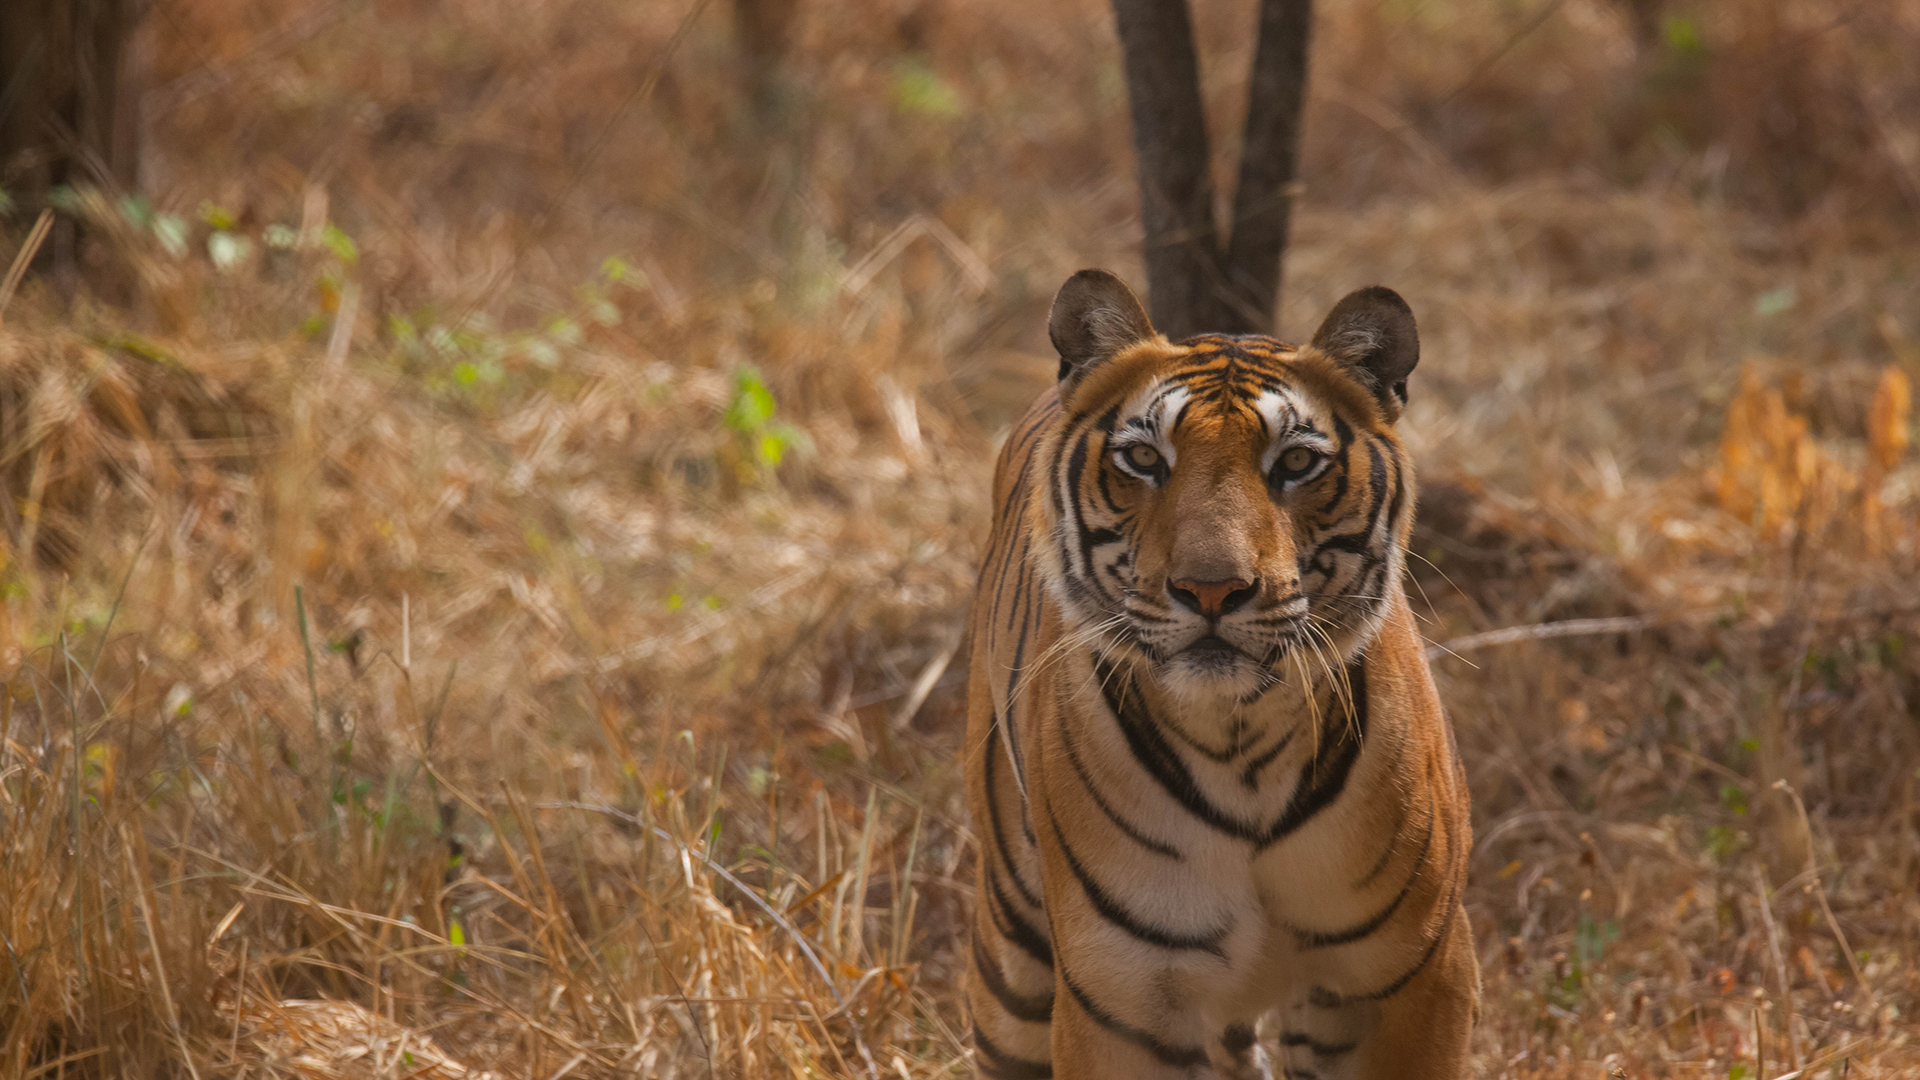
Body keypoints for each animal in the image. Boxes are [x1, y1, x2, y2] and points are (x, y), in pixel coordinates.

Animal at [960, 270, 1482, 1076]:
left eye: (1296, 464)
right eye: (1145, 460)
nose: (1211, 589)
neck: (1242, 744)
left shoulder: (1417, 974)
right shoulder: (1120, 1001)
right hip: (1012, 954)